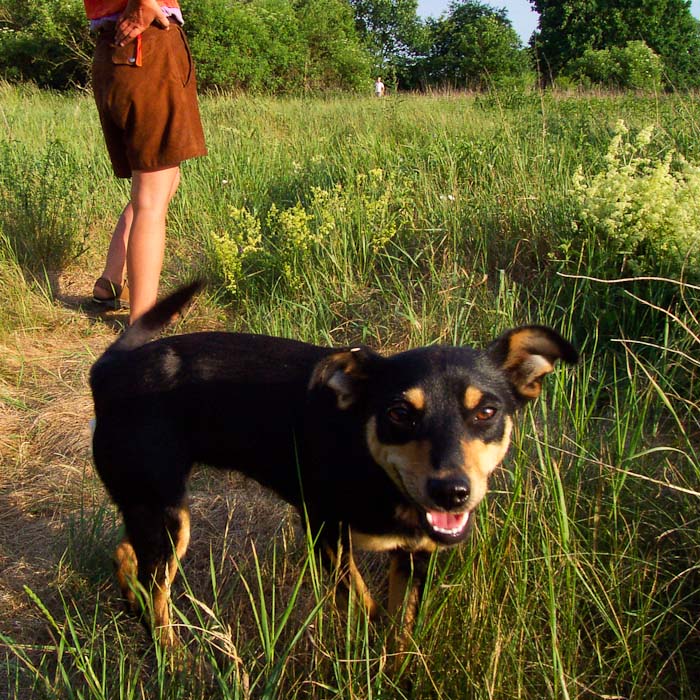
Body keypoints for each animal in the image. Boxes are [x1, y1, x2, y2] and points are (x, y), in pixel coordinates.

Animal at [90, 282, 576, 648]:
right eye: (400, 413)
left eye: (487, 412)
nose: (451, 492)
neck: (374, 467)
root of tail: (109, 372)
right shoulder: (325, 531)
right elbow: (363, 601)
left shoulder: (414, 555)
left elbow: (400, 628)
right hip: (168, 515)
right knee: (157, 596)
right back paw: (175, 660)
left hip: (153, 510)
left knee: (128, 555)